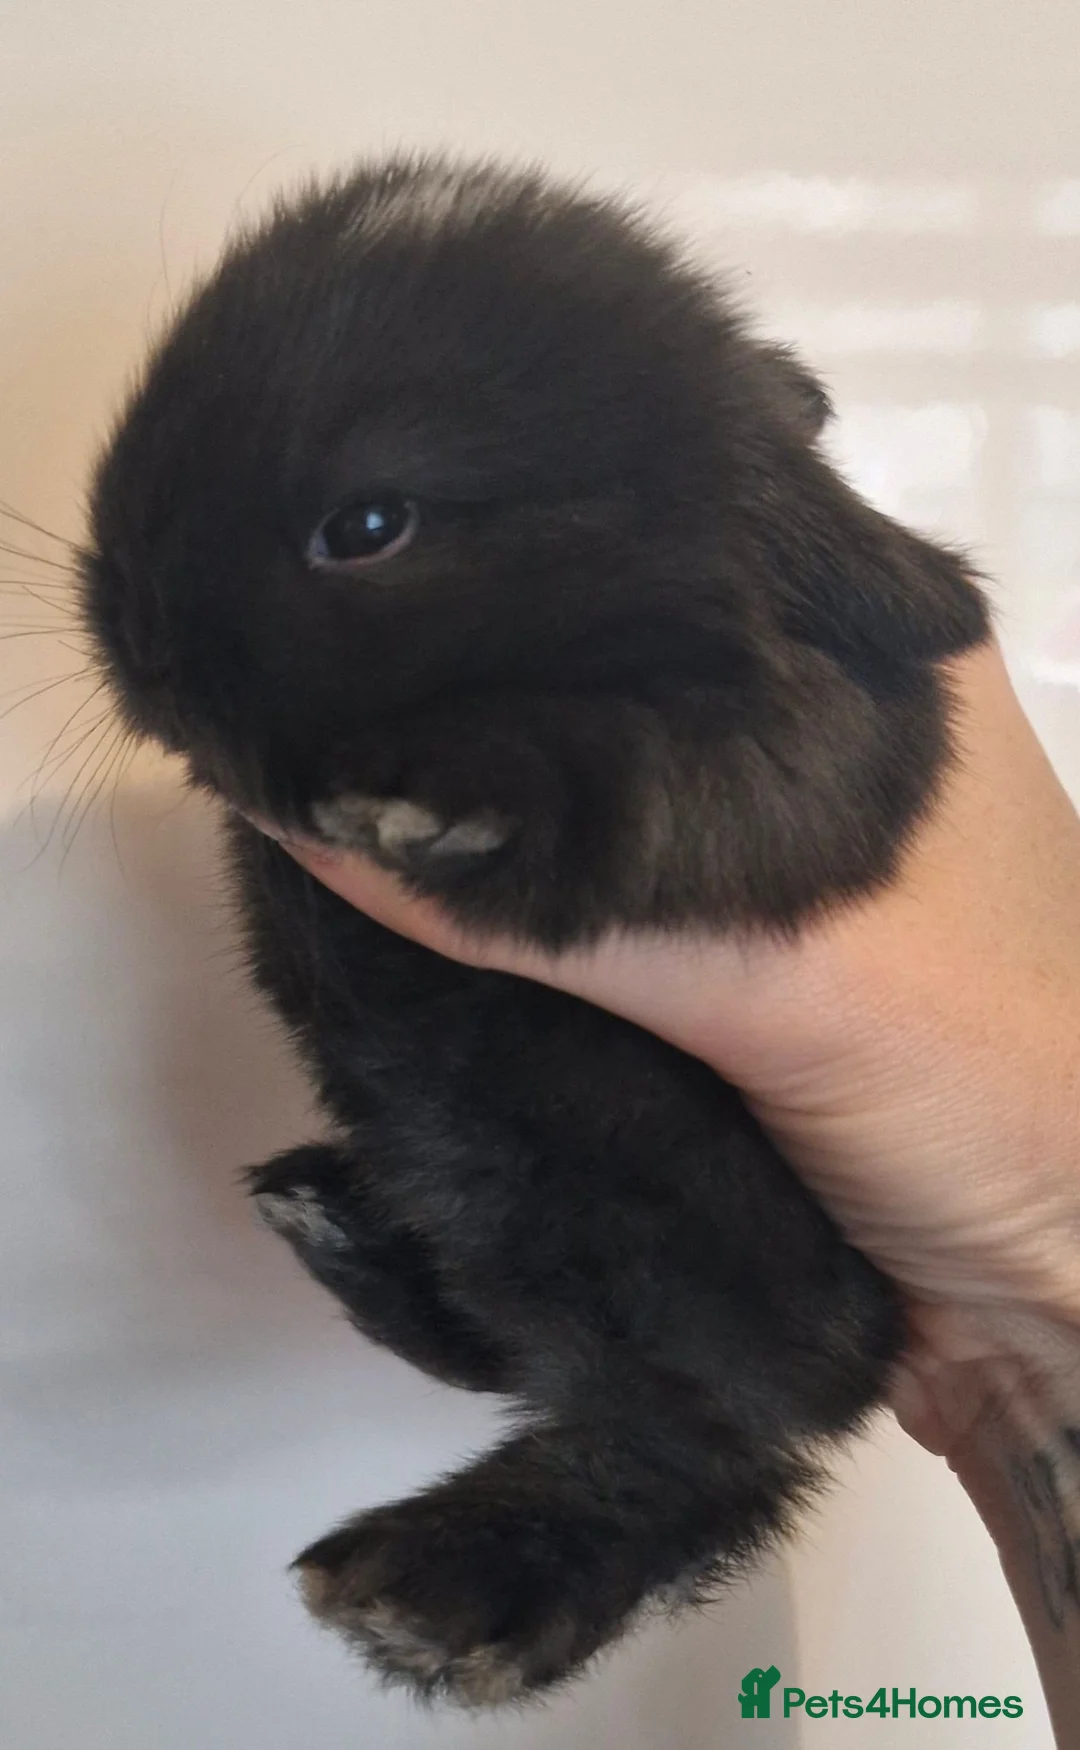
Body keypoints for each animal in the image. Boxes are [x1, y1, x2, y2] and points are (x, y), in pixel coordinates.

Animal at [80, 154, 989, 1707]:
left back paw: (444, 1593)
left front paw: (434, 806)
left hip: (674, 1240)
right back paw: (336, 1229)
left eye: (367, 526)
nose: (134, 634)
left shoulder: (799, 758)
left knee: (701, 1442)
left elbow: (663, 771)